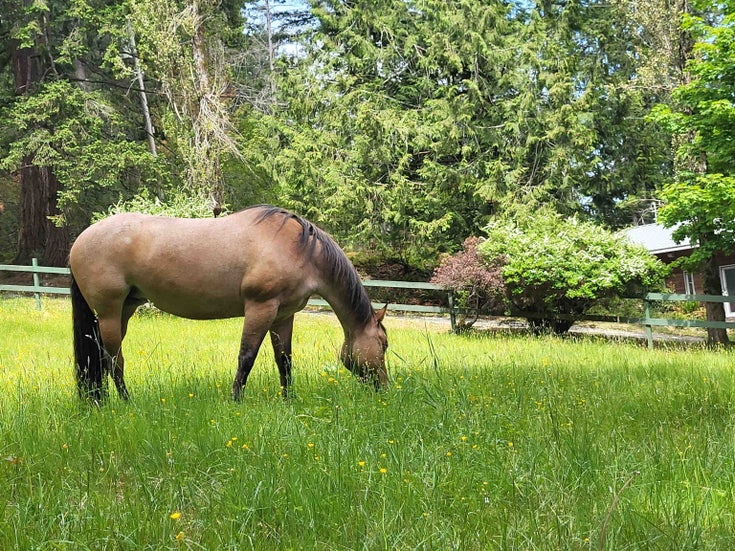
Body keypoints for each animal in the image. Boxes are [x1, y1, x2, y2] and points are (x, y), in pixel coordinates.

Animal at [69, 205, 392, 404]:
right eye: (385, 344)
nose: (385, 388)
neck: (299, 249)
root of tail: (80, 240)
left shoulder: (283, 316)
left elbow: (284, 361)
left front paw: (289, 400)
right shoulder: (260, 309)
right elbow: (246, 357)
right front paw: (236, 400)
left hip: (124, 309)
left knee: (100, 356)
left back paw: (102, 400)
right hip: (110, 311)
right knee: (114, 359)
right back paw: (125, 402)